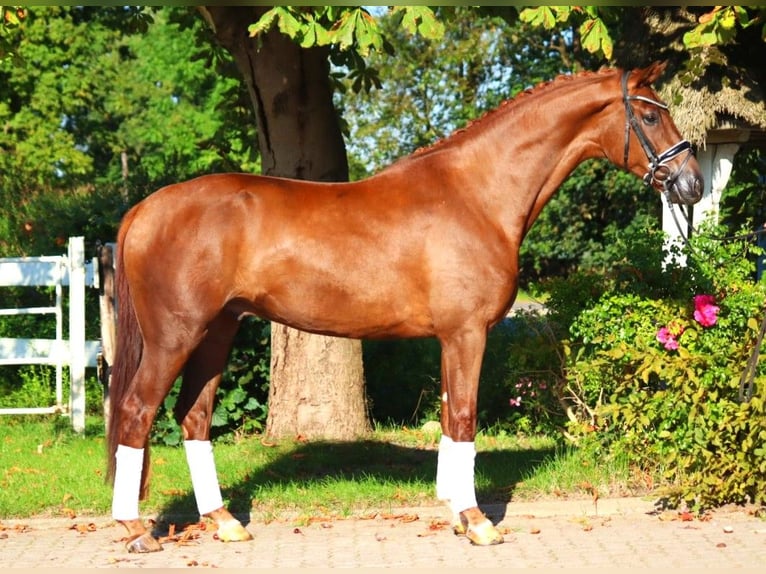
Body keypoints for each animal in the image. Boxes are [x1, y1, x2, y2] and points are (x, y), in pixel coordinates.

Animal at [106, 63, 704, 552]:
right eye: (650, 115)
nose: (692, 184)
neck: (477, 194)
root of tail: (146, 209)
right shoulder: (468, 333)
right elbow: (464, 417)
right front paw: (477, 522)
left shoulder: (450, 337)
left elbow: (449, 417)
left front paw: (457, 514)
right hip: (176, 336)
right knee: (137, 411)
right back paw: (134, 529)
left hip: (217, 332)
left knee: (194, 417)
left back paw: (224, 522)